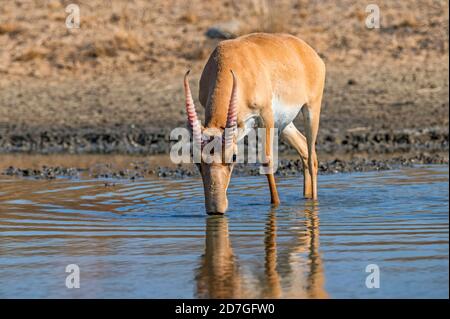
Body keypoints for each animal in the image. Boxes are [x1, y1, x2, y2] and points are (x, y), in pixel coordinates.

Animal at [185, 32, 326, 215]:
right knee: (305, 150)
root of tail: (309, 52)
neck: (233, 61)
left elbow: (267, 160)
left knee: (312, 158)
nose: (216, 209)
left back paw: (314, 202)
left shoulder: (266, 116)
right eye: (196, 159)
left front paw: (275, 204)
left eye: (234, 157)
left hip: (311, 110)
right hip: (285, 124)